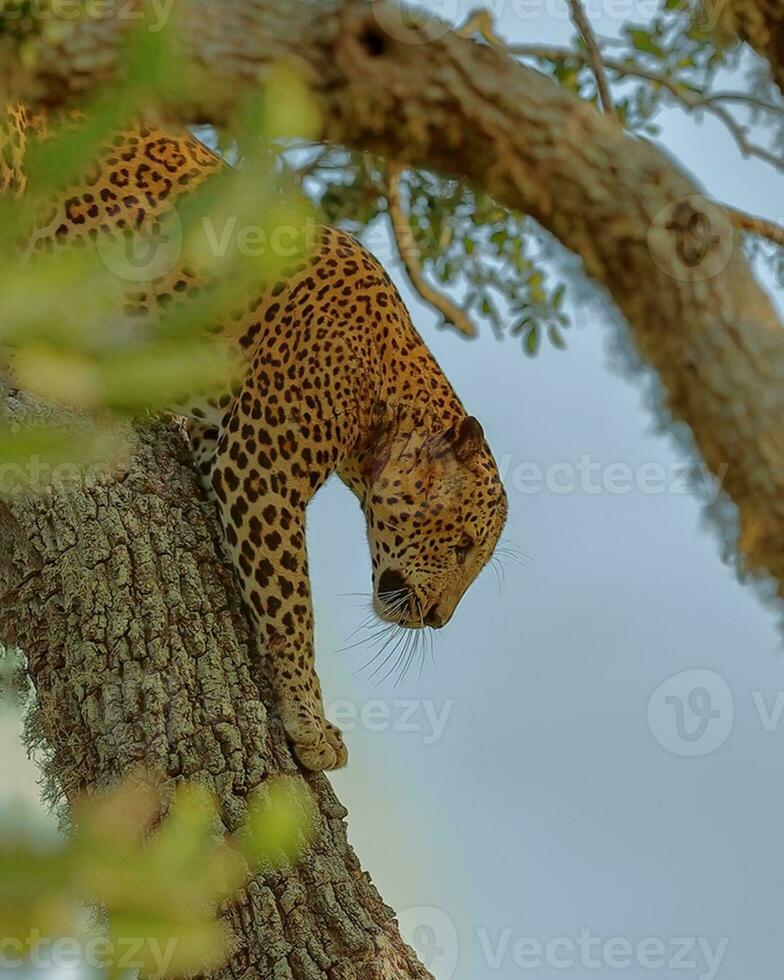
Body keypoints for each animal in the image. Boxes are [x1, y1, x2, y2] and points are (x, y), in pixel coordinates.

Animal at [0, 101, 512, 772]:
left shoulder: (219, 439)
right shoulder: (261, 470)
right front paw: (310, 723)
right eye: (461, 548)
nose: (441, 620)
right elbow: (293, 604)